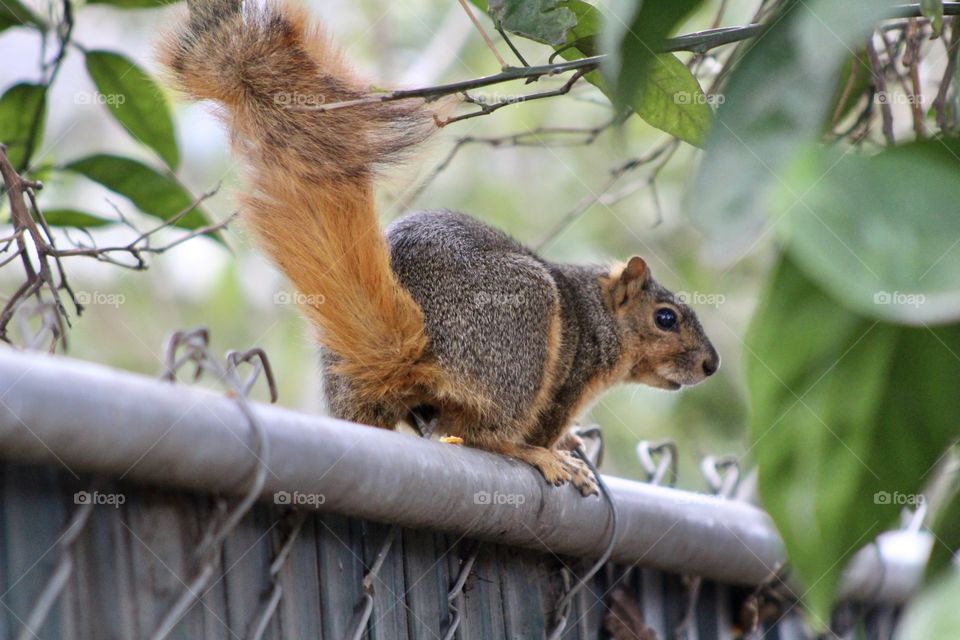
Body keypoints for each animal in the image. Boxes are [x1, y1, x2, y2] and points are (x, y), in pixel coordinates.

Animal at [158, 0, 719, 496]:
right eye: (666, 318)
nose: (711, 366)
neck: (599, 311)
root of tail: (415, 339)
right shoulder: (571, 375)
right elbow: (547, 423)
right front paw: (562, 446)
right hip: (520, 333)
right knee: (484, 435)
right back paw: (532, 454)